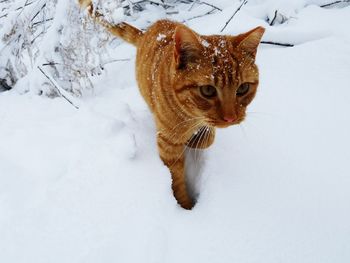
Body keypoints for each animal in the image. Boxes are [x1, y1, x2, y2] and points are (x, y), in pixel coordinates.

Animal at [79, 0, 266, 210]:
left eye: (243, 88)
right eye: (207, 90)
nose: (230, 118)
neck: (191, 117)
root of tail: (150, 29)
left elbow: (207, 139)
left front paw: (197, 139)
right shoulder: (167, 144)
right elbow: (175, 180)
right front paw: (184, 205)